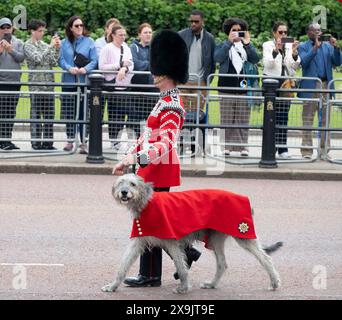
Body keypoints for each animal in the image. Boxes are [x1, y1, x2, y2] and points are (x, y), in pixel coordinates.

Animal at [102, 174, 284, 294]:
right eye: (120, 183)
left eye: (132, 184)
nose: (124, 192)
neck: (146, 204)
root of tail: (246, 199)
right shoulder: (139, 239)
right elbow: (123, 264)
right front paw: (112, 286)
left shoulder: (172, 241)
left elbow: (181, 266)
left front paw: (183, 287)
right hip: (214, 238)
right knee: (222, 263)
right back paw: (212, 284)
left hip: (242, 234)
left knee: (265, 258)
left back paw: (274, 282)